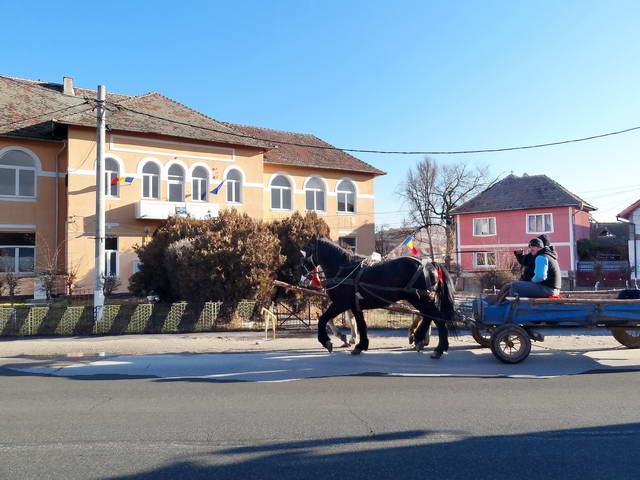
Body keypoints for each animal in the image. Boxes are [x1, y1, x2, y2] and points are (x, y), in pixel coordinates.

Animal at [300, 238, 456, 358]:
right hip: (423, 299)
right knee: (430, 317)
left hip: (419, 299)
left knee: (435, 318)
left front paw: (326, 341)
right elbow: (361, 325)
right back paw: (425, 341)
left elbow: (323, 320)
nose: (302, 281)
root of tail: (430, 264)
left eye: (305, 257)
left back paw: (434, 347)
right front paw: (360, 346)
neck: (343, 268)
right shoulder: (354, 306)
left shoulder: (340, 303)